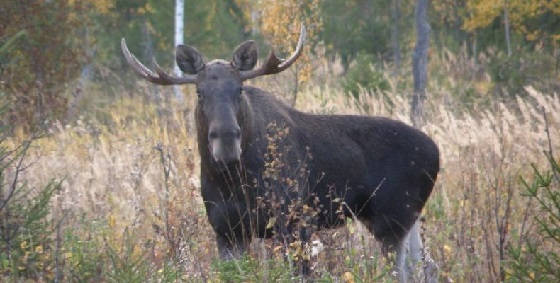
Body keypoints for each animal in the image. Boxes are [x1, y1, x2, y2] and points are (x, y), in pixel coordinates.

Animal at [121, 26, 438, 282]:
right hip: (404, 218)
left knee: (403, 272)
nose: (227, 142)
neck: (234, 181)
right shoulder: (226, 229)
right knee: (426, 265)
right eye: (199, 93)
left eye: (240, 89)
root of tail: (437, 152)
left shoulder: (295, 222)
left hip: (391, 217)